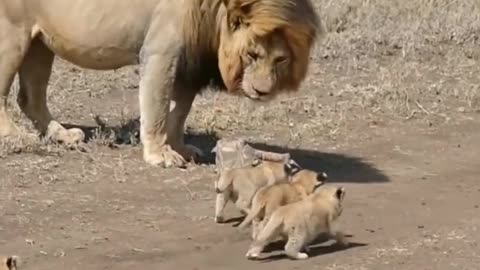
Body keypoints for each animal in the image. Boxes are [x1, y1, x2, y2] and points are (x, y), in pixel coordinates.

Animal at [1, 0, 322, 168]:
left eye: (280, 59)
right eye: (252, 54)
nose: (262, 91)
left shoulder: (188, 63)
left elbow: (178, 113)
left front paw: (179, 148)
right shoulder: (160, 53)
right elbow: (156, 110)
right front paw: (160, 154)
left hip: (41, 42)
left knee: (30, 97)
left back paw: (63, 135)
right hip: (12, 34)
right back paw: (16, 137)